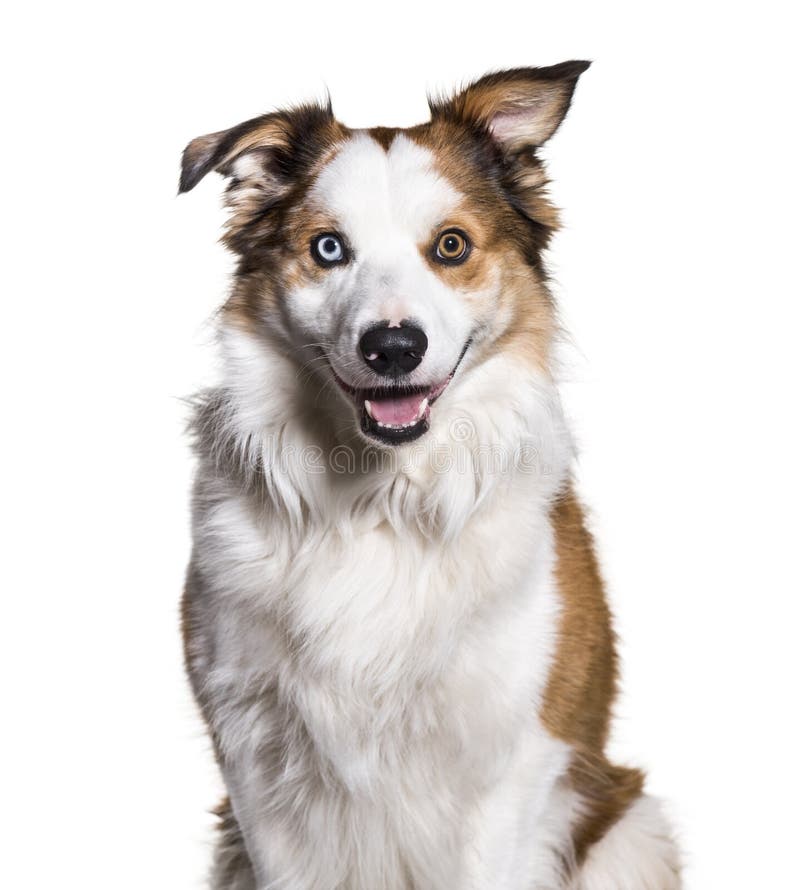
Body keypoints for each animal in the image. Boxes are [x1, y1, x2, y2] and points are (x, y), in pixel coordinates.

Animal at [181, 64, 680, 888]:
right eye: (328, 249)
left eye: (451, 246)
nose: (392, 347)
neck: (376, 500)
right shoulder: (254, 756)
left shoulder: (508, 762)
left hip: (628, 832)